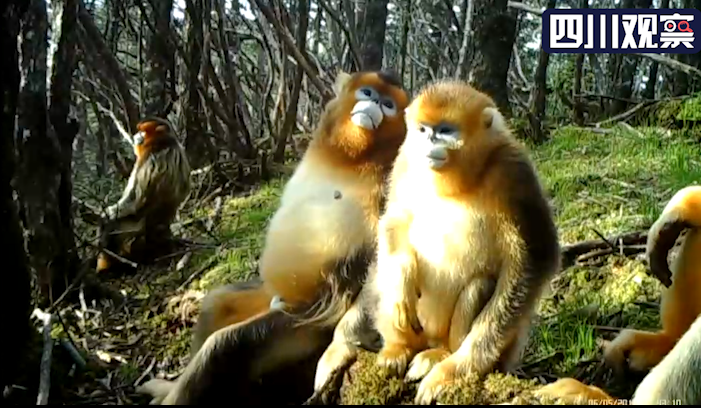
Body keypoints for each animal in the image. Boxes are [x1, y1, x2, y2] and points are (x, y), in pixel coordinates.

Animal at [95, 117, 190, 274]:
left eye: (143, 131)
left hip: (132, 233)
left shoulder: (148, 159)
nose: (136, 135)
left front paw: (106, 214)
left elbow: (134, 200)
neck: (165, 144)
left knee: (113, 225)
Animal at [314, 79, 560, 404]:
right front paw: (401, 283)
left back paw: (440, 355)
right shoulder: (406, 158)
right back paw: (398, 347)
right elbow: (395, 218)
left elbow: (535, 259)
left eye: (444, 131)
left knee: (480, 285)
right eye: (422, 130)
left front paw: (454, 370)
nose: (430, 142)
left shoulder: (514, 170)